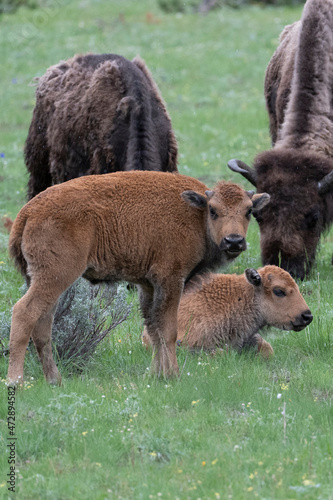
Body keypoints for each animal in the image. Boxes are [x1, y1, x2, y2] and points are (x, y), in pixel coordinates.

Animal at [7, 170, 270, 384]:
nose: (234, 241)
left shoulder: (148, 286)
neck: (196, 214)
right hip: (56, 276)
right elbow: (168, 330)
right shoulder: (171, 279)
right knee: (24, 313)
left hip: (46, 281)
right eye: (213, 210)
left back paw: (54, 380)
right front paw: (173, 375)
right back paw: (16, 381)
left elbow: (153, 328)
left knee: (43, 325)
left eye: (249, 211)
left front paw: (155, 374)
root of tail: (28, 211)